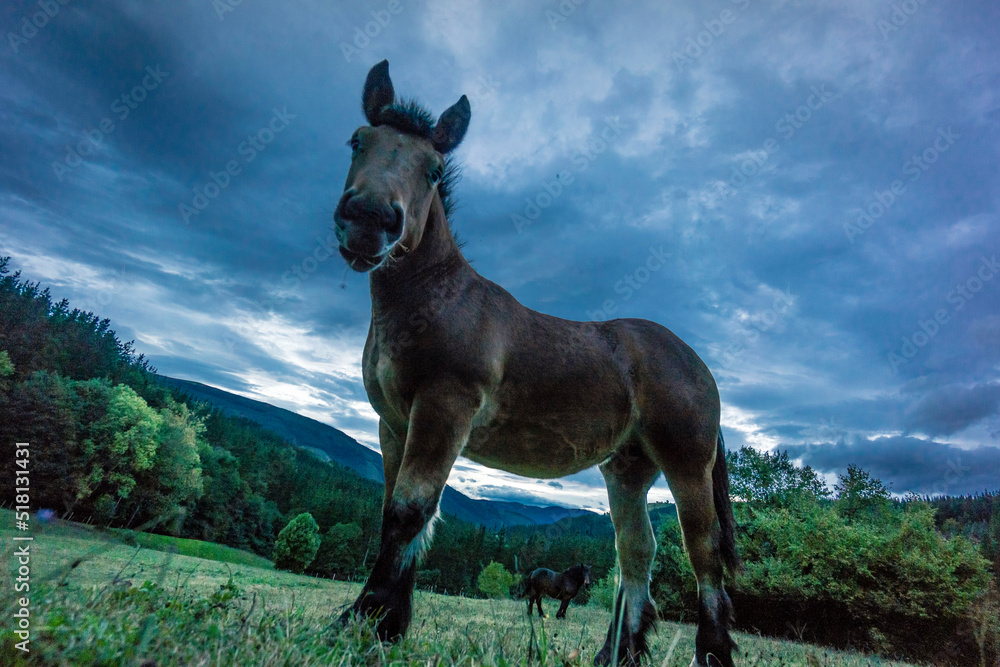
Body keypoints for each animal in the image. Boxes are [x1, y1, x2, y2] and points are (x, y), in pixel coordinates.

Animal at [332, 62, 740, 667]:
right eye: (358, 141)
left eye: (433, 169)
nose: (368, 220)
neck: (435, 300)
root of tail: (696, 362)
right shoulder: (394, 425)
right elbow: (399, 513)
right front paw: (388, 623)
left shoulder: (443, 411)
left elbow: (410, 510)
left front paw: (363, 620)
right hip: (627, 470)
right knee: (636, 553)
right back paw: (617, 652)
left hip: (687, 465)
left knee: (702, 553)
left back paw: (711, 652)